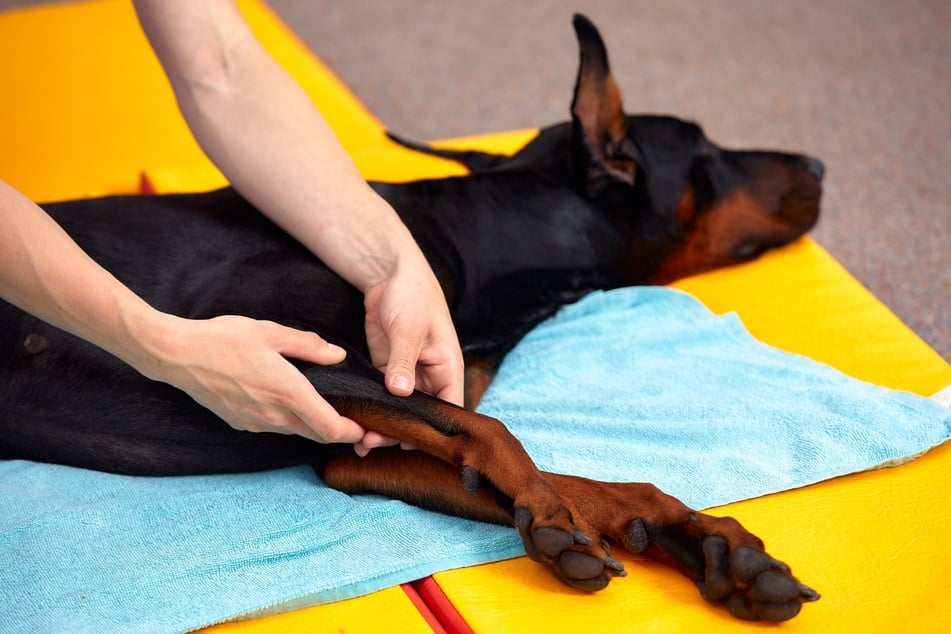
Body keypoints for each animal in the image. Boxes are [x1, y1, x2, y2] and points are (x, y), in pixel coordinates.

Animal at [0, 16, 820, 624]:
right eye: (708, 152)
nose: (817, 165)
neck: (480, 247)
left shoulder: (353, 445)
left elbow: (567, 478)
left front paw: (709, 545)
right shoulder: (276, 362)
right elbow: (499, 436)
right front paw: (555, 519)